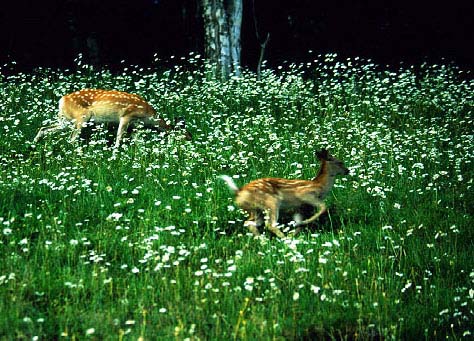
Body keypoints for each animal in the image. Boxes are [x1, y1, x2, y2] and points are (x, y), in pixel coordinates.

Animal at [32, 88, 193, 147]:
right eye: (187, 136)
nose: (192, 144)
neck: (148, 116)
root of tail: (62, 100)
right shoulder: (127, 116)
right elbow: (119, 137)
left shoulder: (136, 125)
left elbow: (137, 141)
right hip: (82, 117)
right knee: (71, 139)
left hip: (65, 120)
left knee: (44, 128)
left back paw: (33, 146)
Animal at [220, 147, 350, 238]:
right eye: (340, 162)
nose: (347, 170)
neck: (320, 185)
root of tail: (238, 192)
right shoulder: (304, 194)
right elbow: (323, 207)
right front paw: (303, 224)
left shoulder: (299, 208)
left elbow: (299, 223)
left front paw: (295, 230)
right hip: (271, 202)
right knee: (269, 224)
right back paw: (282, 238)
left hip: (255, 210)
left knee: (249, 223)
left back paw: (263, 240)